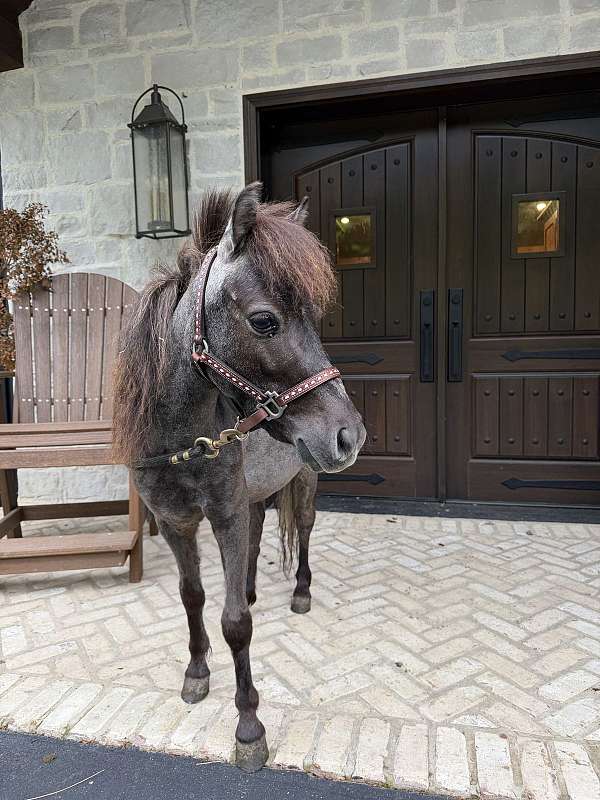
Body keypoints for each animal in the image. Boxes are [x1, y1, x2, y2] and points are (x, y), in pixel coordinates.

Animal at [112, 182, 366, 772]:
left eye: (314, 317)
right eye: (265, 321)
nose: (349, 435)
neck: (180, 440)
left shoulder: (224, 514)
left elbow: (235, 624)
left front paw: (249, 726)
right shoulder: (177, 521)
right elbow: (193, 596)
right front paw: (196, 672)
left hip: (307, 483)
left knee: (304, 532)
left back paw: (300, 593)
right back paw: (250, 587)